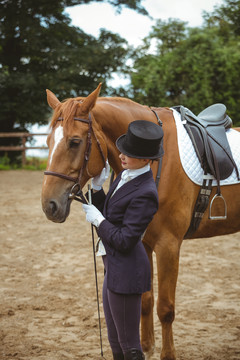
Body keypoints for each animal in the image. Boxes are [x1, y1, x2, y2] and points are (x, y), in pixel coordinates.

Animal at [41, 83, 240, 358]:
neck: (156, 160)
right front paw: (146, 347)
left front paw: (167, 354)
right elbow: (145, 300)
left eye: (75, 142)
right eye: (48, 141)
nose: (49, 206)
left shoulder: (168, 246)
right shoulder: (142, 243)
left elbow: (165, 308)